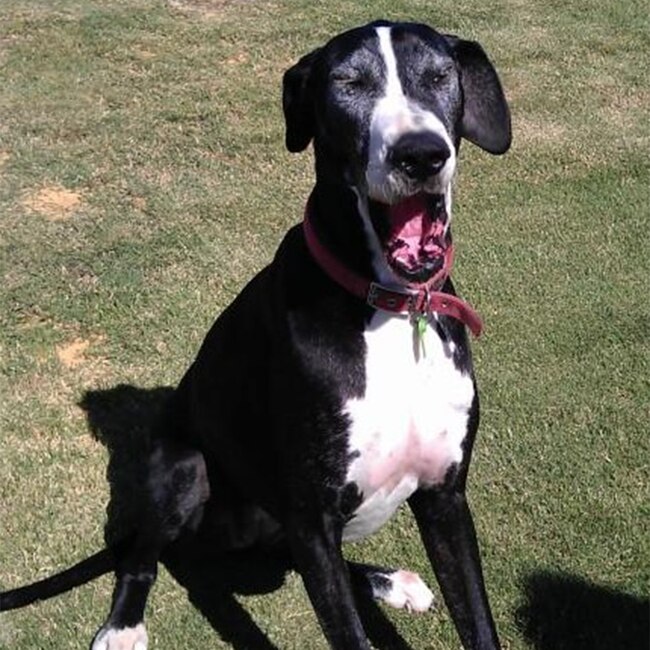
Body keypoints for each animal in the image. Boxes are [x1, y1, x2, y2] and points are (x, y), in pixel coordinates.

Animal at [0, 17, 508, 644]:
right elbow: (347, 630)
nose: (422, 155)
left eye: (439, 75)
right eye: (348, 82)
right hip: (184, 468)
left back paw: (388, 581)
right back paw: (123, 625)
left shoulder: (445, 497)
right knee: (145, 555)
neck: (387, 307)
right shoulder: (312, 517)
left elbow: (477, 621)